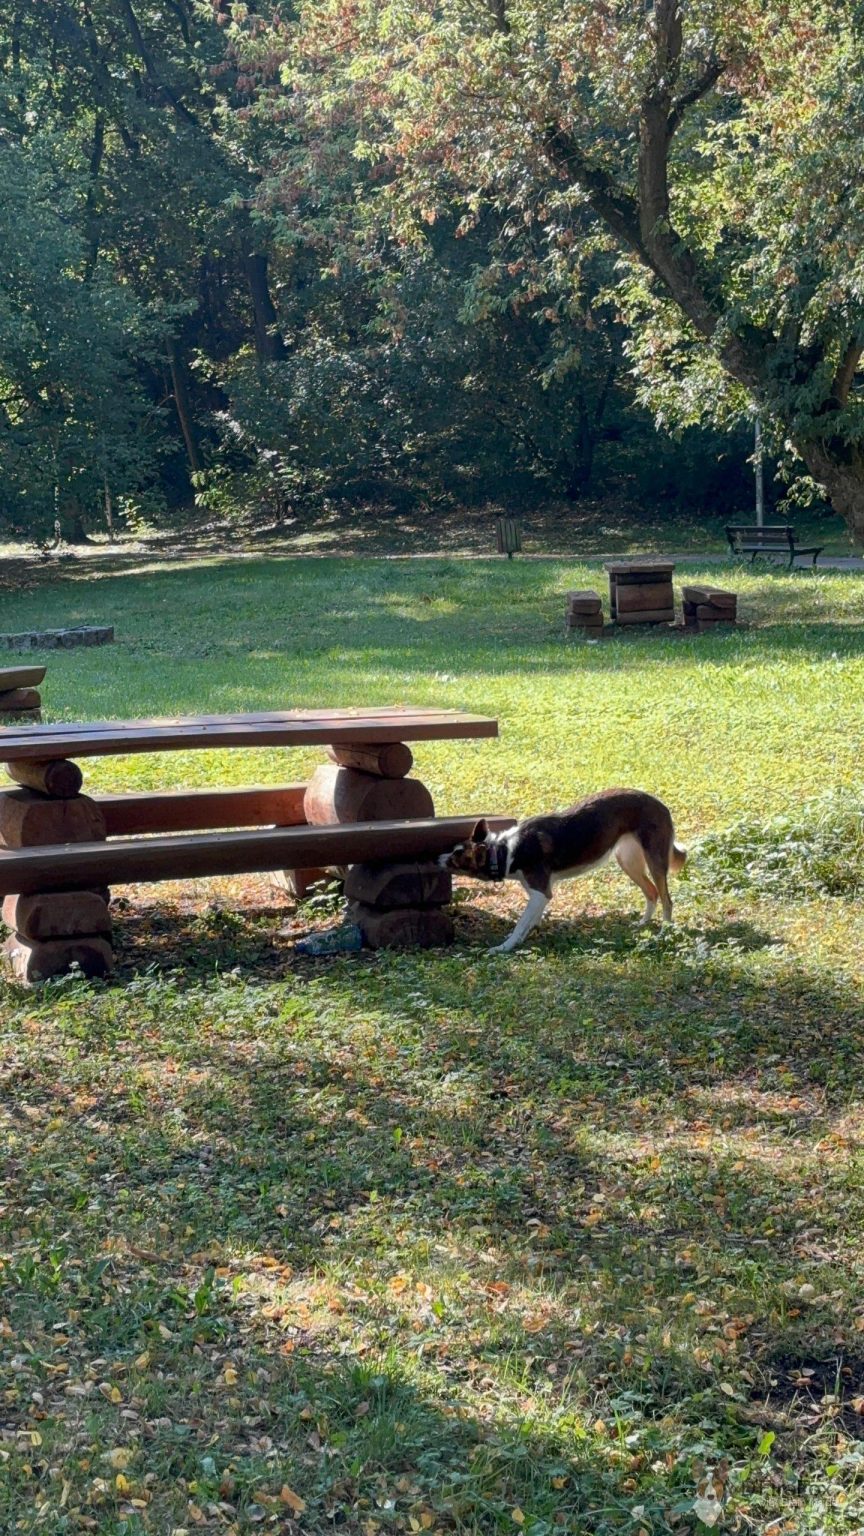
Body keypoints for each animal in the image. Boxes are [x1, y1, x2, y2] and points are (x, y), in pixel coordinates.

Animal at [440, 788, 686, 954]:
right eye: (453, 850)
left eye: (456, 857)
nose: (437, 858)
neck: (503, 850)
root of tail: (660, 804)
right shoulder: (540, 893)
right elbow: (530, 922)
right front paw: (522, 940)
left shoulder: (540, 892)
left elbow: (520, 924)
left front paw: (504, 947)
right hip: (627, 860)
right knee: (651, 892)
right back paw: (642, 924)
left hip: (654, 861)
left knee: (667, 899)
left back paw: (664, 933)